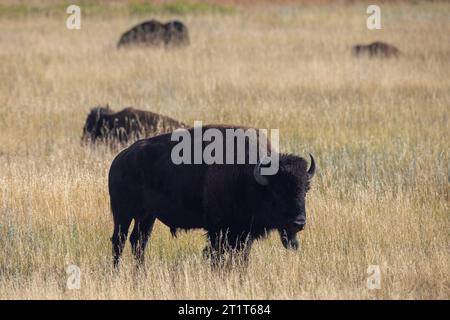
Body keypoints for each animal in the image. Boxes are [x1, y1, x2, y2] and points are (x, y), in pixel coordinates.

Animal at [108, 125, 316, 268]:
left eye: (305, 189)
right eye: (277, 191)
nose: (298, 223)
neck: (249, 176)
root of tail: (119, 159)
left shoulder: (243, 233)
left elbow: (241, 256)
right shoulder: (218, 231)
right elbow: (217, 255)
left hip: (147, 217)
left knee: (138, 241)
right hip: (123, 214)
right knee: (119, 241)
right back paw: (116, 272)